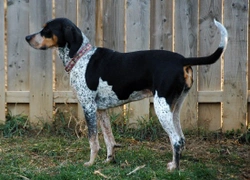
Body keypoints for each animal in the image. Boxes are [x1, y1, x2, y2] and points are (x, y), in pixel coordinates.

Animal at [25, 17, 229, 171]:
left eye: (46, 29)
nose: (27, 37)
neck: (81, 56)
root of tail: (182, 59)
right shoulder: (101, 110)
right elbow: (109, 139)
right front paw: (109, 160)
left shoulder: (88, 107)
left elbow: (93, 141)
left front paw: (90, 163)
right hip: (174, 109)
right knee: (181, 138)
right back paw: (173, 163)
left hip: (161, 108)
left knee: (177, 140)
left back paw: (174, 169)